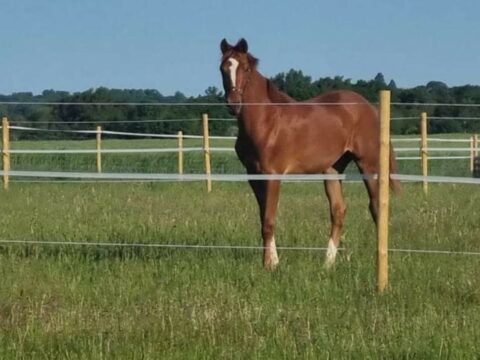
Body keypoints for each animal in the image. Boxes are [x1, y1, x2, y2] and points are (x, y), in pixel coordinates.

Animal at [219, 40, 400, 270]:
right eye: (223, 68)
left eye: (245, 68)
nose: (233, 103)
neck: (266, 121)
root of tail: (370, 108)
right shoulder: (254, 176)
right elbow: (263, 218)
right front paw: (270, 261)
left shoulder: (273, 176)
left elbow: (269, 220)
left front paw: (270, 265)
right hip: (333, 170)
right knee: (338, 211)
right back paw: (328, 262)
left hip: (367, 165)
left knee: (376, 207)